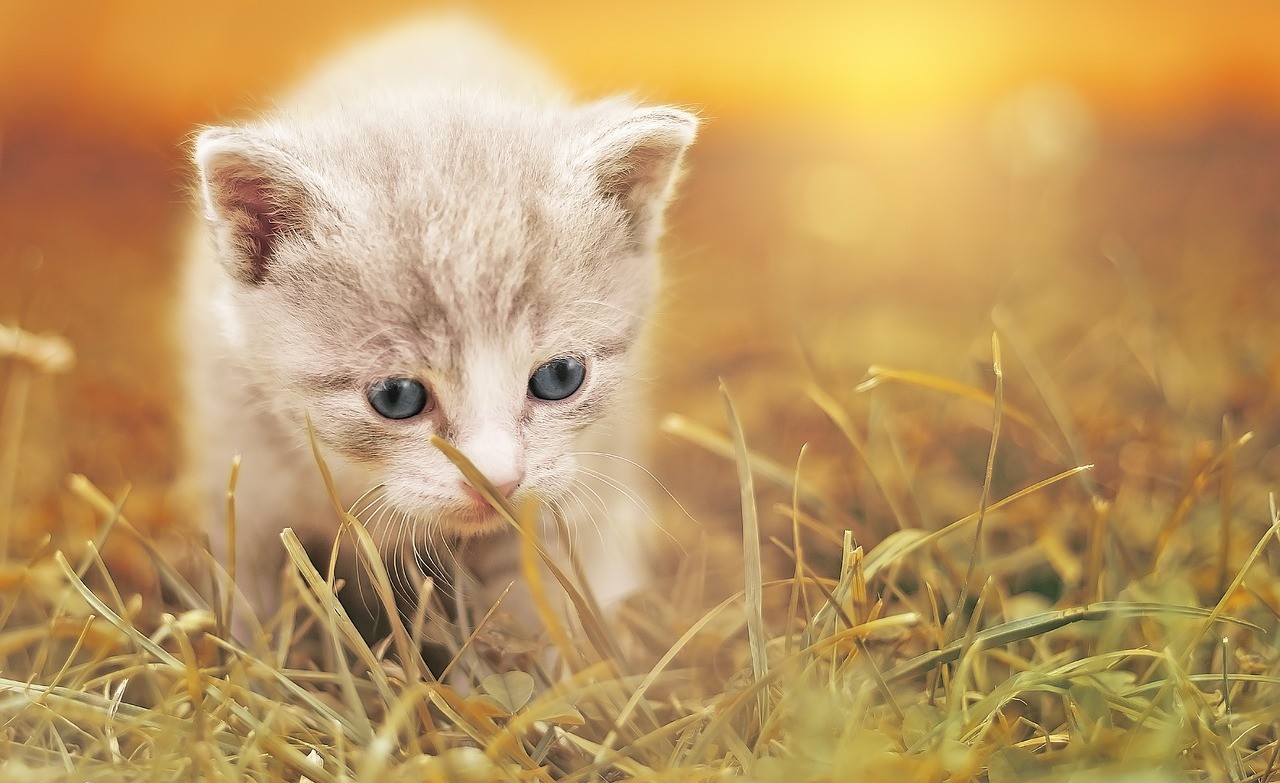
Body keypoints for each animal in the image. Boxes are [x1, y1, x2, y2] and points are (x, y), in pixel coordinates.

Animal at [180, 18, 696, 642]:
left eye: (559, 377)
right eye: (396, 396)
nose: (498, 482)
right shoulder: (240, 463)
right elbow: (249, 583)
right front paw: (248, 652)